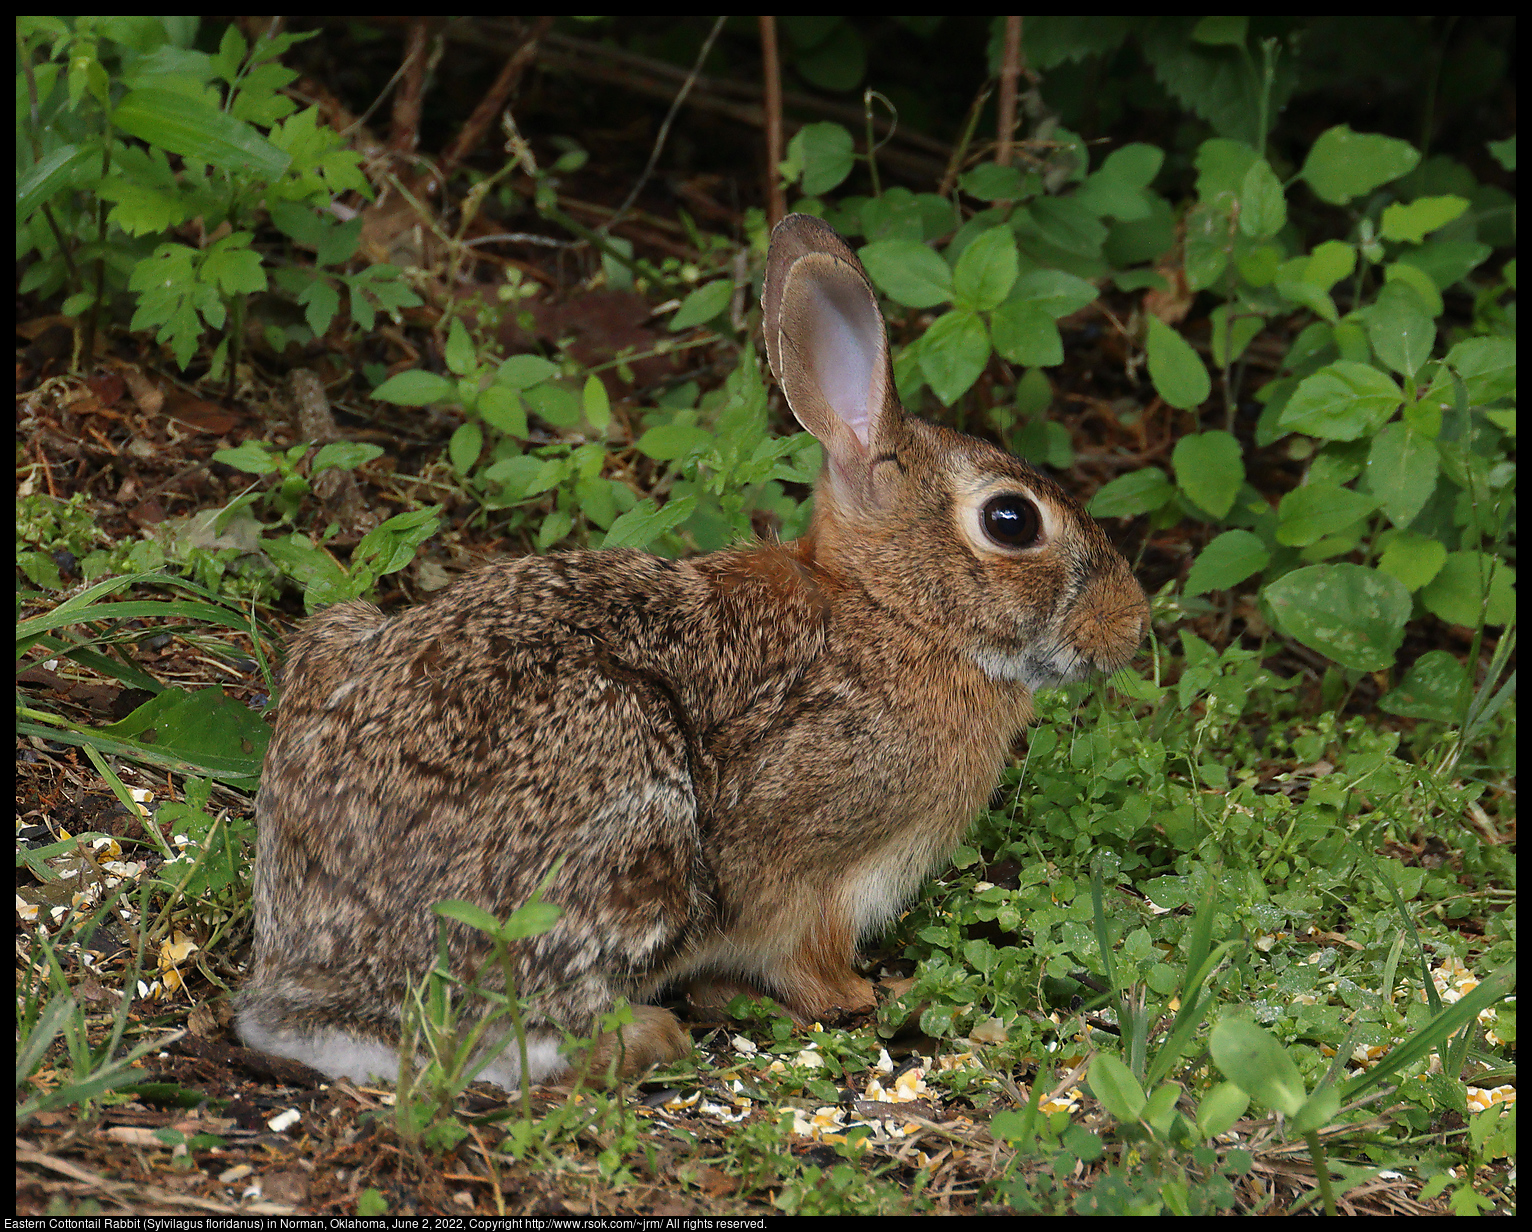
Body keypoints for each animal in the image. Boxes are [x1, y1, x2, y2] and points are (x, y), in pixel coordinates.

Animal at [235, 214, 1152, 1084]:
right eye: (1011, 520)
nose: (1131, 624)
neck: (895, 613)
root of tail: (314, 999)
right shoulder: (810, 856)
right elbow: (801, 954)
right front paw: (866, 995)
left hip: (339, 637)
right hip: (632, 822)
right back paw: (653, 1035)